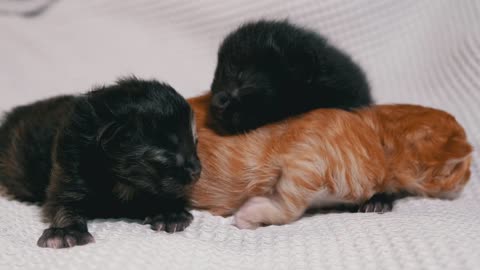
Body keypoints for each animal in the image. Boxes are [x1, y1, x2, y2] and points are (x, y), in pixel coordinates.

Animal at [0, 77, 201, 248]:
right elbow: (62, 205)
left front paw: (170, 213)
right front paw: (66, 231)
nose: (197, 171)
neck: (122, 180)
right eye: (167, 154)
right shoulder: (68, 166)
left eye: (195, 143)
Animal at [188, 94, 472, 229]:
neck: (375, 136)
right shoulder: (306, 161)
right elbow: (290, 208)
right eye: (463, 168)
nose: (470, 179)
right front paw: (249, 214)